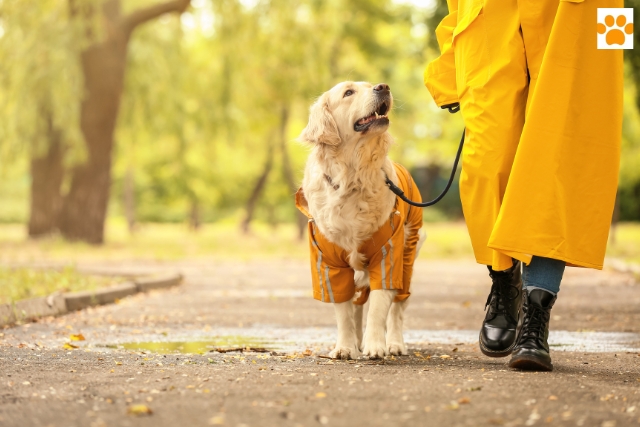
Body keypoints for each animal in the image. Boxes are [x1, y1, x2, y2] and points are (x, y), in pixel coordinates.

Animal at [298, 82, 428, 360]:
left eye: (370, 85)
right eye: (348, 92)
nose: (383, 86)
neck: (352, 176)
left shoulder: (388, 254)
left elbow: (379, 307)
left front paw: (376, 346)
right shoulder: (330, 262)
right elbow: (344, 313)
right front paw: (346, 347)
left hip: (408, 255)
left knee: (398, 307)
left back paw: (395, 343)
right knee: (357, 304)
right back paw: (357, 341)